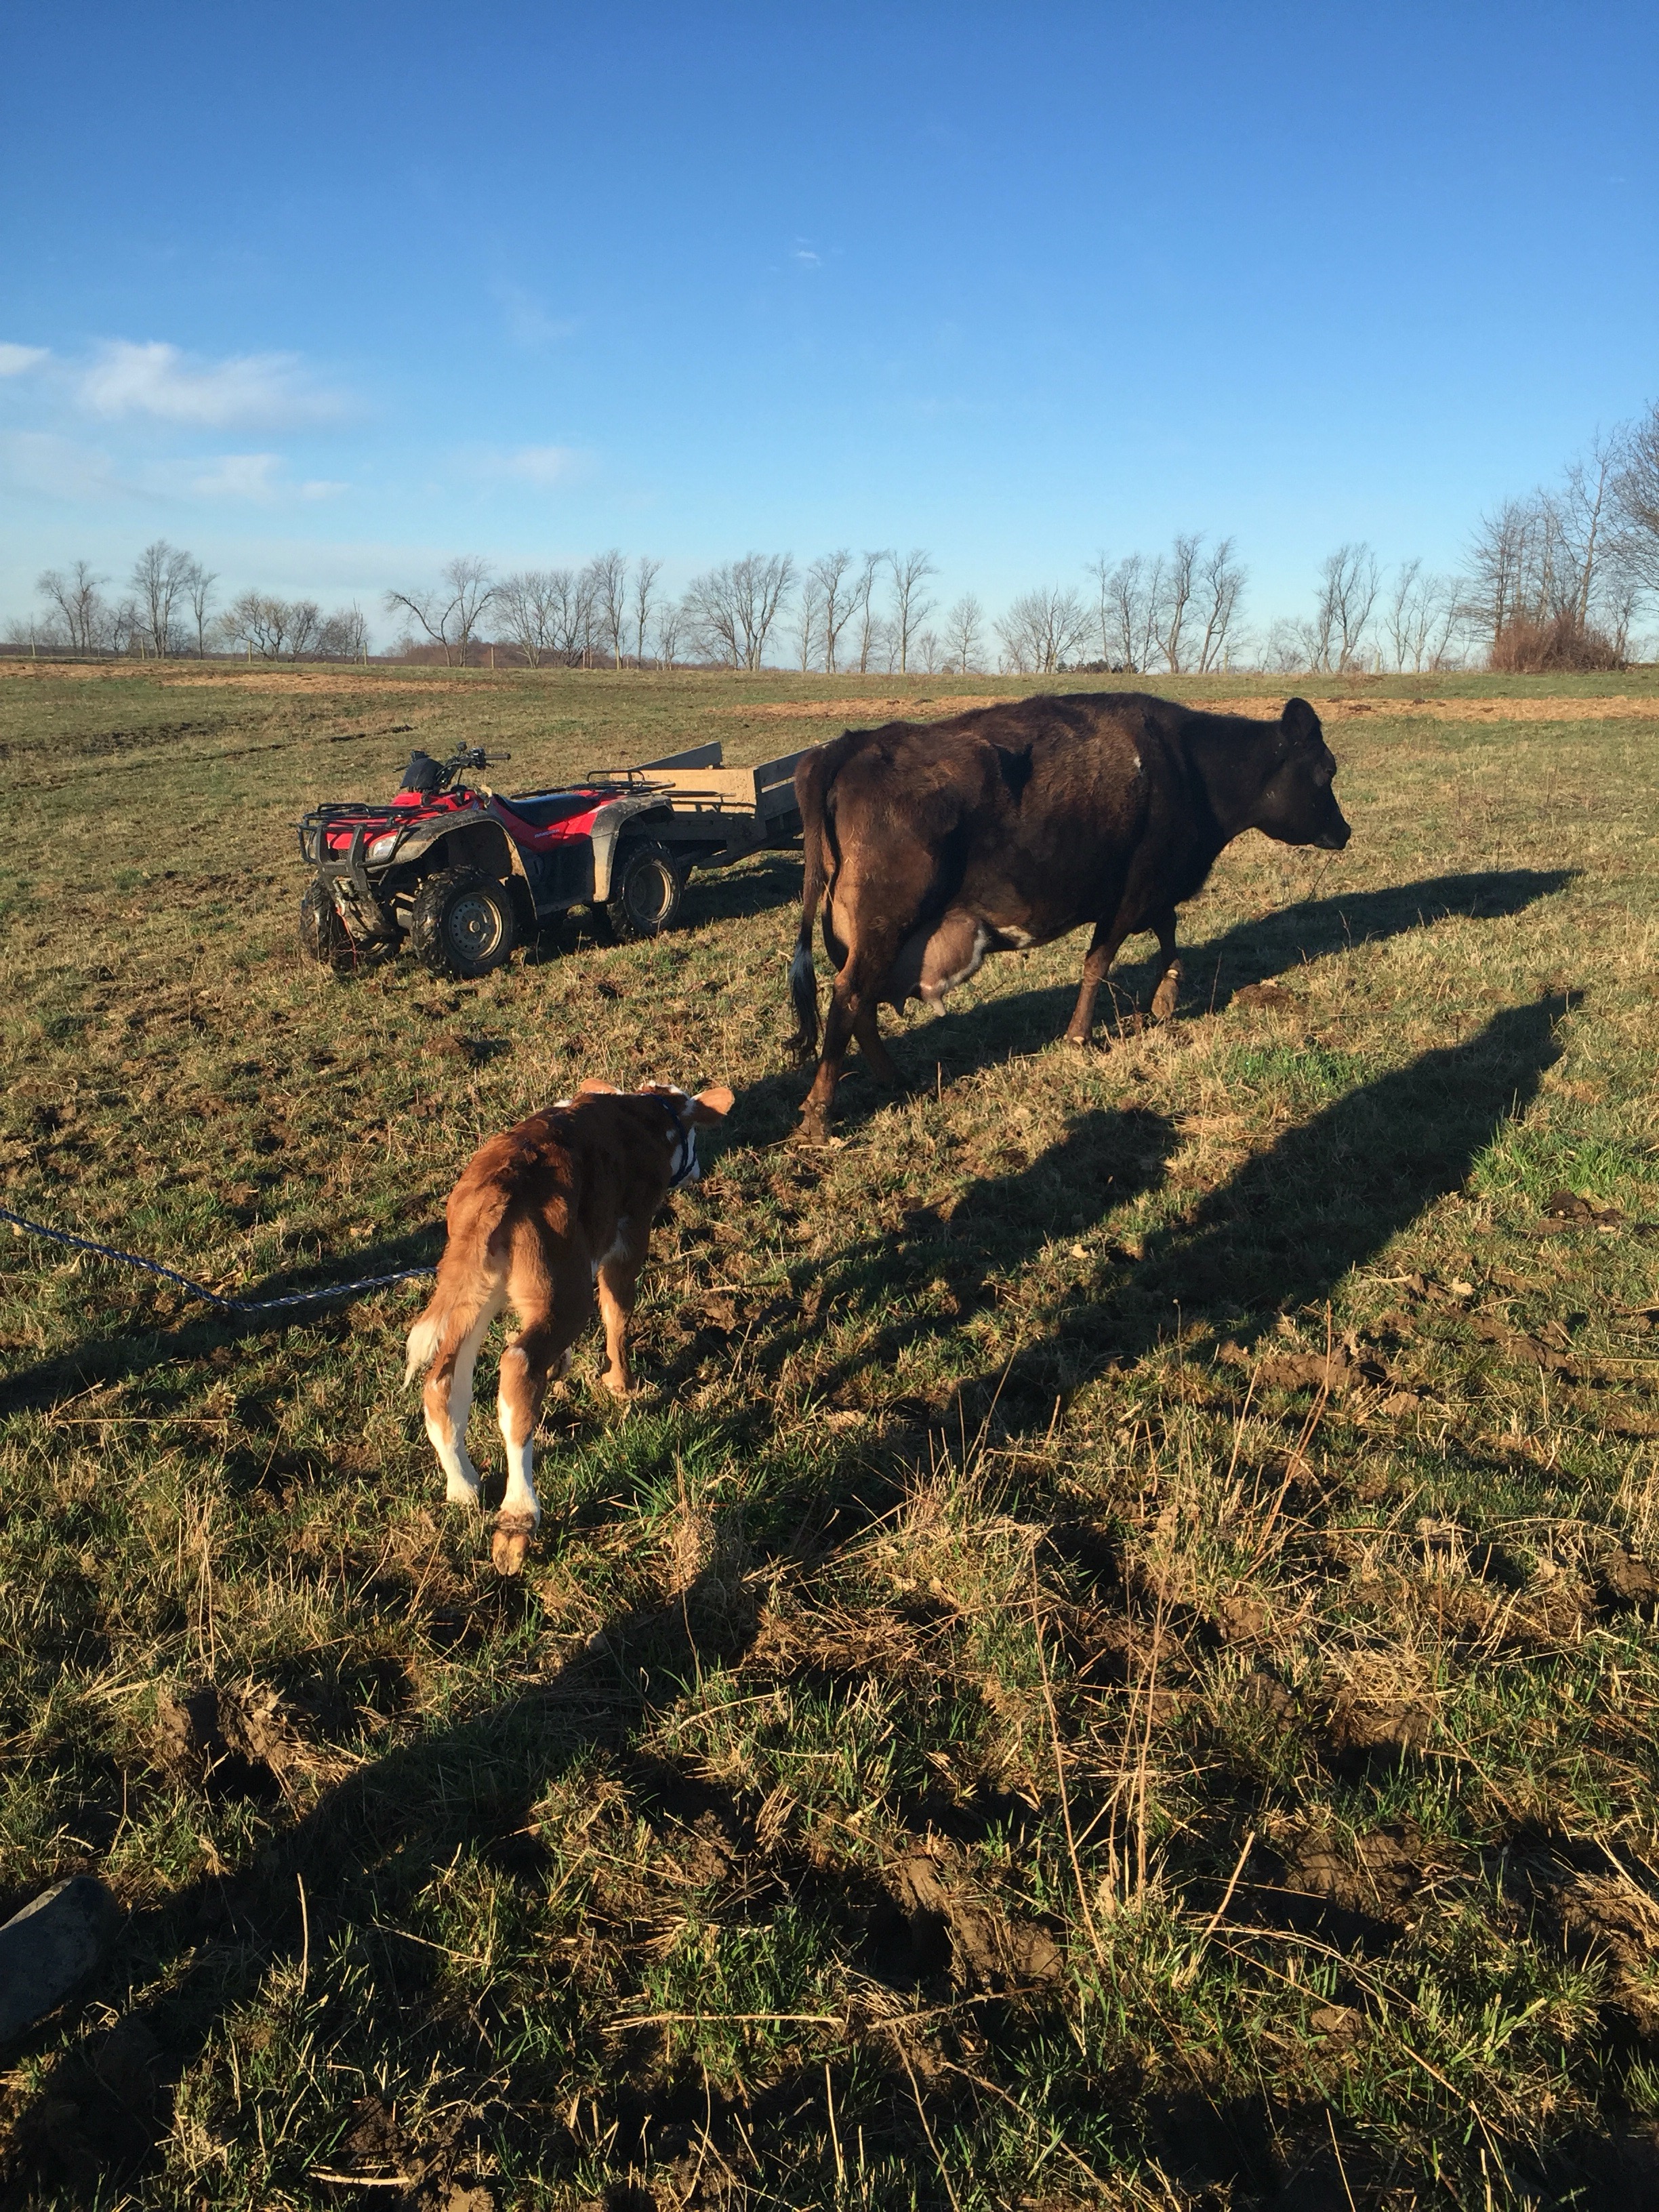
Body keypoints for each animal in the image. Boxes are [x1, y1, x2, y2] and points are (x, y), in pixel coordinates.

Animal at [404, 1078, 734, 1573]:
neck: (646, 1115)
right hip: (567, 1288)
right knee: (518, 1366)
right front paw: (622, 1384)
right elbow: (617, 1310)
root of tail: (500, 1179)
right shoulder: (630, 1234)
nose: (695, 1172)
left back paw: (463, 1485)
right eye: (696, 1133)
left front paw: (563, 1364)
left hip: (477, 1289)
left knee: (444, 1378)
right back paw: (517, 1517)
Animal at [786, 691, 1351, 1143]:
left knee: (860, 1005)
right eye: (1327, 771)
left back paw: (892, 1079)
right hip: (884, 925)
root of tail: (848, 746)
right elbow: (1099, 962)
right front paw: (1080, 1035)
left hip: (861, 936)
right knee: (849, 997)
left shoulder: (1152, 887)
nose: (1344, 831)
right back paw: (819, 1113)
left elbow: (1167, 933)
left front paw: (1165, 995)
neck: (1189, 766)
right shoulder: (1130, 892)